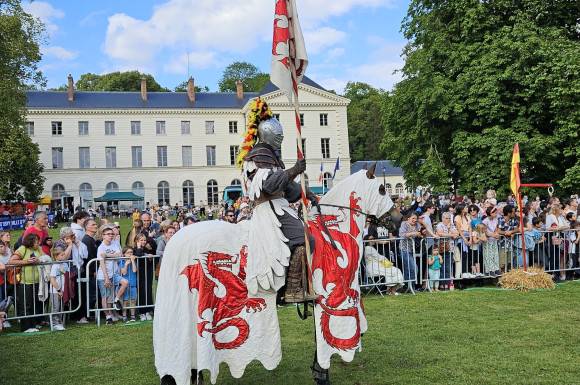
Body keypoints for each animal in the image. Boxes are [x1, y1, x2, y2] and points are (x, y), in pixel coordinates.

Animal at [153, 165, 394, 384]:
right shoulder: (325, 294)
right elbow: (323, 333)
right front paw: (321, 372)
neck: (332, 232)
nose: (395, 218)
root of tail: (175, 240)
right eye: (382, 189)